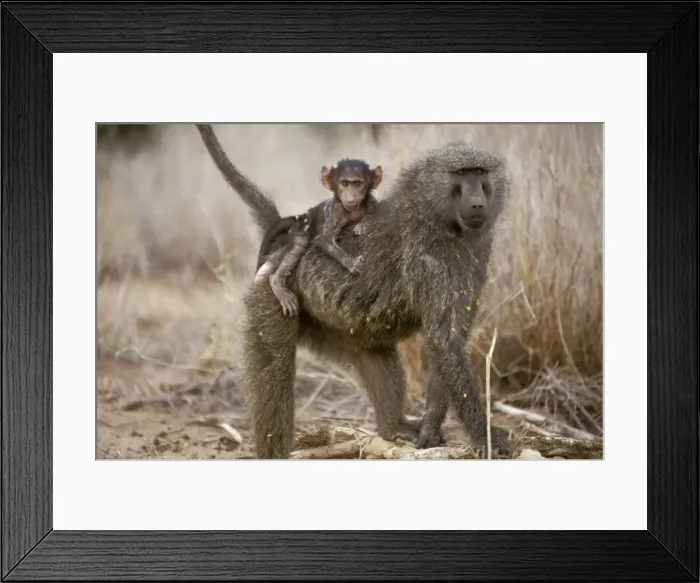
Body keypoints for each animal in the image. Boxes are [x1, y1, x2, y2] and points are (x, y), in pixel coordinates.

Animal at [252, 159, 382, 317]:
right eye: (344, 183)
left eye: (357, 183)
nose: (351, 197)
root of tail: (302, 216)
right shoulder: (336, 210)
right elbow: (324, 239)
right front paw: (352, 263)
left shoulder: (371, 202)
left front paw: (365, 223)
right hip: (298, 229)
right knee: (300, 242)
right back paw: (276, 282)